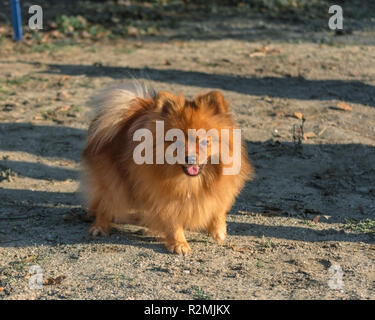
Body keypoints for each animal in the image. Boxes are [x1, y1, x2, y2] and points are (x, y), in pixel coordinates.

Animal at [81, 80, 253, 255]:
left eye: (205, 141)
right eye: (176, 141)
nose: (190, 158)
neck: (191, 182)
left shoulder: (219, 188)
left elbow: (218, 207)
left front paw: (218, 230)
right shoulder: (165, 196)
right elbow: (173, 221)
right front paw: (179, 244)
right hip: (114, 180)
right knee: (105, 201)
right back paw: (100, 226)